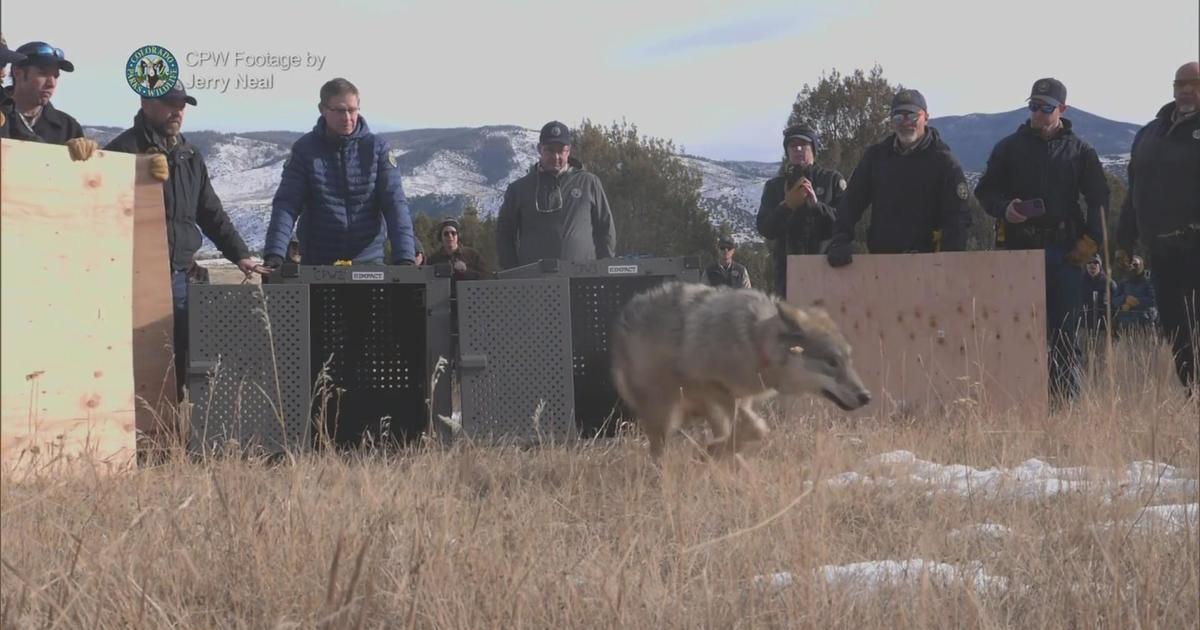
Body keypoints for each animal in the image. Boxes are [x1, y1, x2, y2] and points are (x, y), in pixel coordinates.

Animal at [614, 282, 868, 458]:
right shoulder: (708, 387)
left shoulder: (742, 398)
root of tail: (625, 314)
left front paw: (719, 452)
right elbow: (753, 427)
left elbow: (751, 428)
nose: (866, 396)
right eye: (832, 362)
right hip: (663, 412)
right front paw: (713, 450)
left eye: (848, 359)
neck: (754, 343)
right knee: (659, 452)